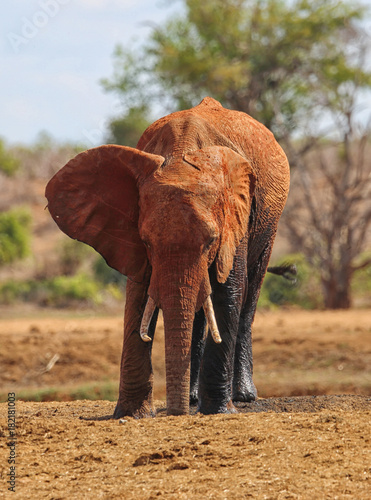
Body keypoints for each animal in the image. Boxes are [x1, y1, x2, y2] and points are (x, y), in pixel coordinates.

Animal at [45, 97, 290, 418]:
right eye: (147, 242)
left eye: (211, 241)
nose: (175, 413)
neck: (179, 158)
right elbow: (137, 296)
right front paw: (131, 414)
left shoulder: (237, 215)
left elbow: (230, 289)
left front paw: (218, 412)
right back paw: (194, 398)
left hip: (269, 223)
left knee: (250, 291)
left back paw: (242, 396)